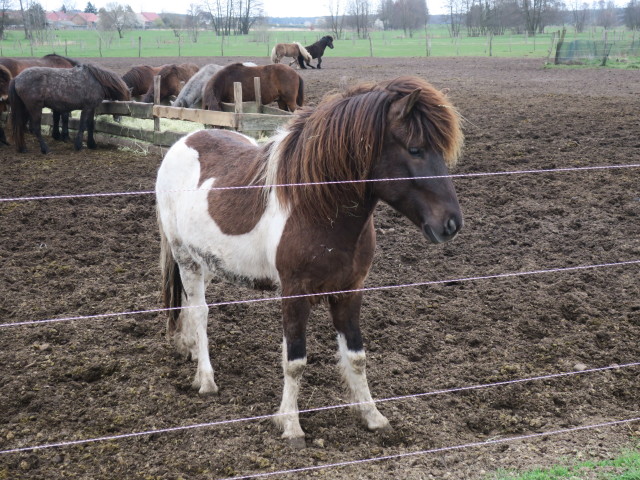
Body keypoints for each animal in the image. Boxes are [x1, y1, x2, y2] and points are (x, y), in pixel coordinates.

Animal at [156, 76, 464, 446]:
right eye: (415, 149)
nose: (451, 224)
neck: (316, 207)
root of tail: (183, 141)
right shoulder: (295, 294)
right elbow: (295, 361)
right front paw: (290, 424)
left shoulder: (349, 291)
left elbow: (357, 357)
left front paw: (372, 415)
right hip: (184, 256)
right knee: (200, 311)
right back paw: (205, 378)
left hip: (206, 261)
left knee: (189, 306)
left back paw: (188, 348)